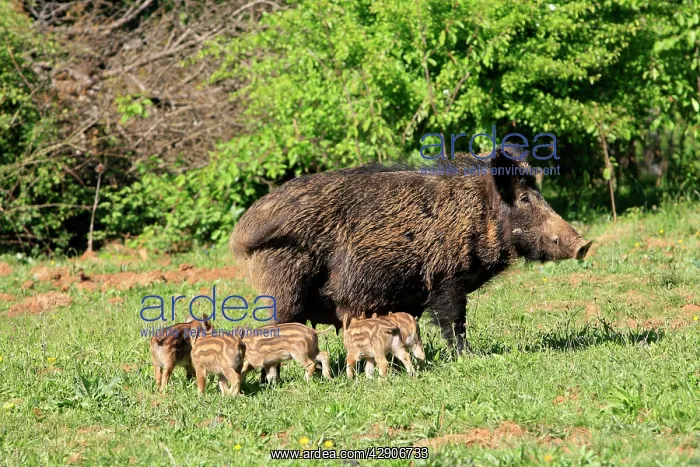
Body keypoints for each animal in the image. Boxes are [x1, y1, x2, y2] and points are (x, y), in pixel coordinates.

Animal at [230, 149, 592, 352]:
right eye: (525, 199)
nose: (584, 244)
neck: (478, 213)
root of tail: (243, 230)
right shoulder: (446, 279)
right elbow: (454, 322)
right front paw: (467, 355)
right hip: (283, 288)